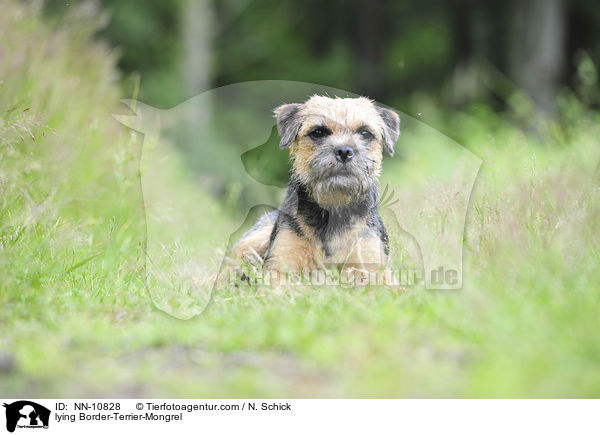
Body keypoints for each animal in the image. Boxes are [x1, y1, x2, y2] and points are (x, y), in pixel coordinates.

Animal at [232, 96, 400, 284]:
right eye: (318, 132)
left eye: (365, 133)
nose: (344, 151)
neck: (333, 208)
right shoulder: (280, 267)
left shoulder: (373, 268)